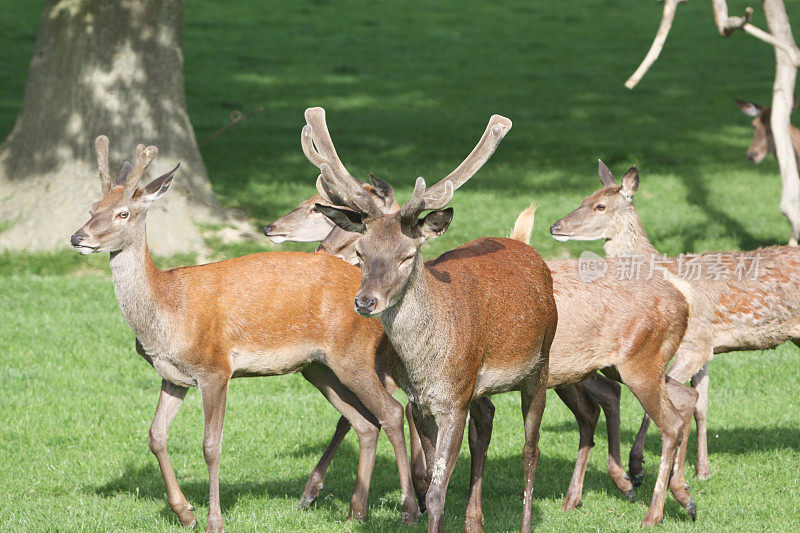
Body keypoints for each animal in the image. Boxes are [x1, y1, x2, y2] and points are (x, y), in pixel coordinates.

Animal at [67, 137, 424, 532]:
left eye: (123, 213)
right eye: (92, 207)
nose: (78, 236)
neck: (166, 312)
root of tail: (376, 296)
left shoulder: (215, 368)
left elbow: (211, 445)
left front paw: (214, 520)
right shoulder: (173, 375)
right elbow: (155, 436)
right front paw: (184, 511)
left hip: (353, 353)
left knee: (391, 412)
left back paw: (408, 510)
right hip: (319, 367)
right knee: (365, 423)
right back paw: (354, 512)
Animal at [552, 158, 800, 482]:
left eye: (600, 206)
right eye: (583, 198)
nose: (555, 226)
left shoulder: (694, 344)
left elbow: (662, 404)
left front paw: (637, 465)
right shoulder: (707, 347)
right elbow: (701, 406)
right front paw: (703, 470)